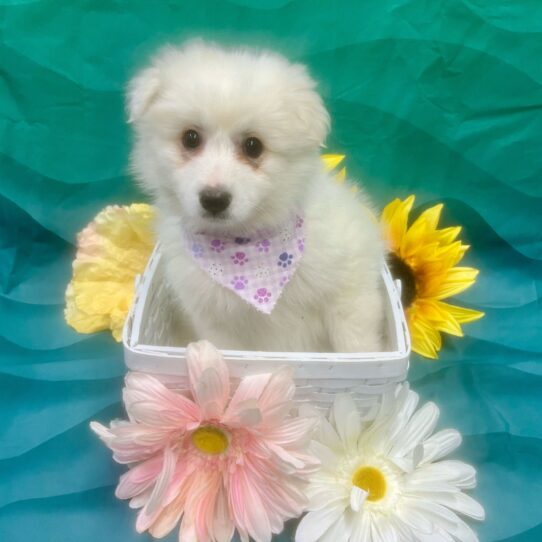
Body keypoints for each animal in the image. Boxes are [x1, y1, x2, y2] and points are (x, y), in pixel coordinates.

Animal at [127, 41, 386, 352]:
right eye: (190, 138)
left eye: (253, 146)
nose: (214, 199)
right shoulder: (215, 322)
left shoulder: (350, 284)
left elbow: (355, 341)